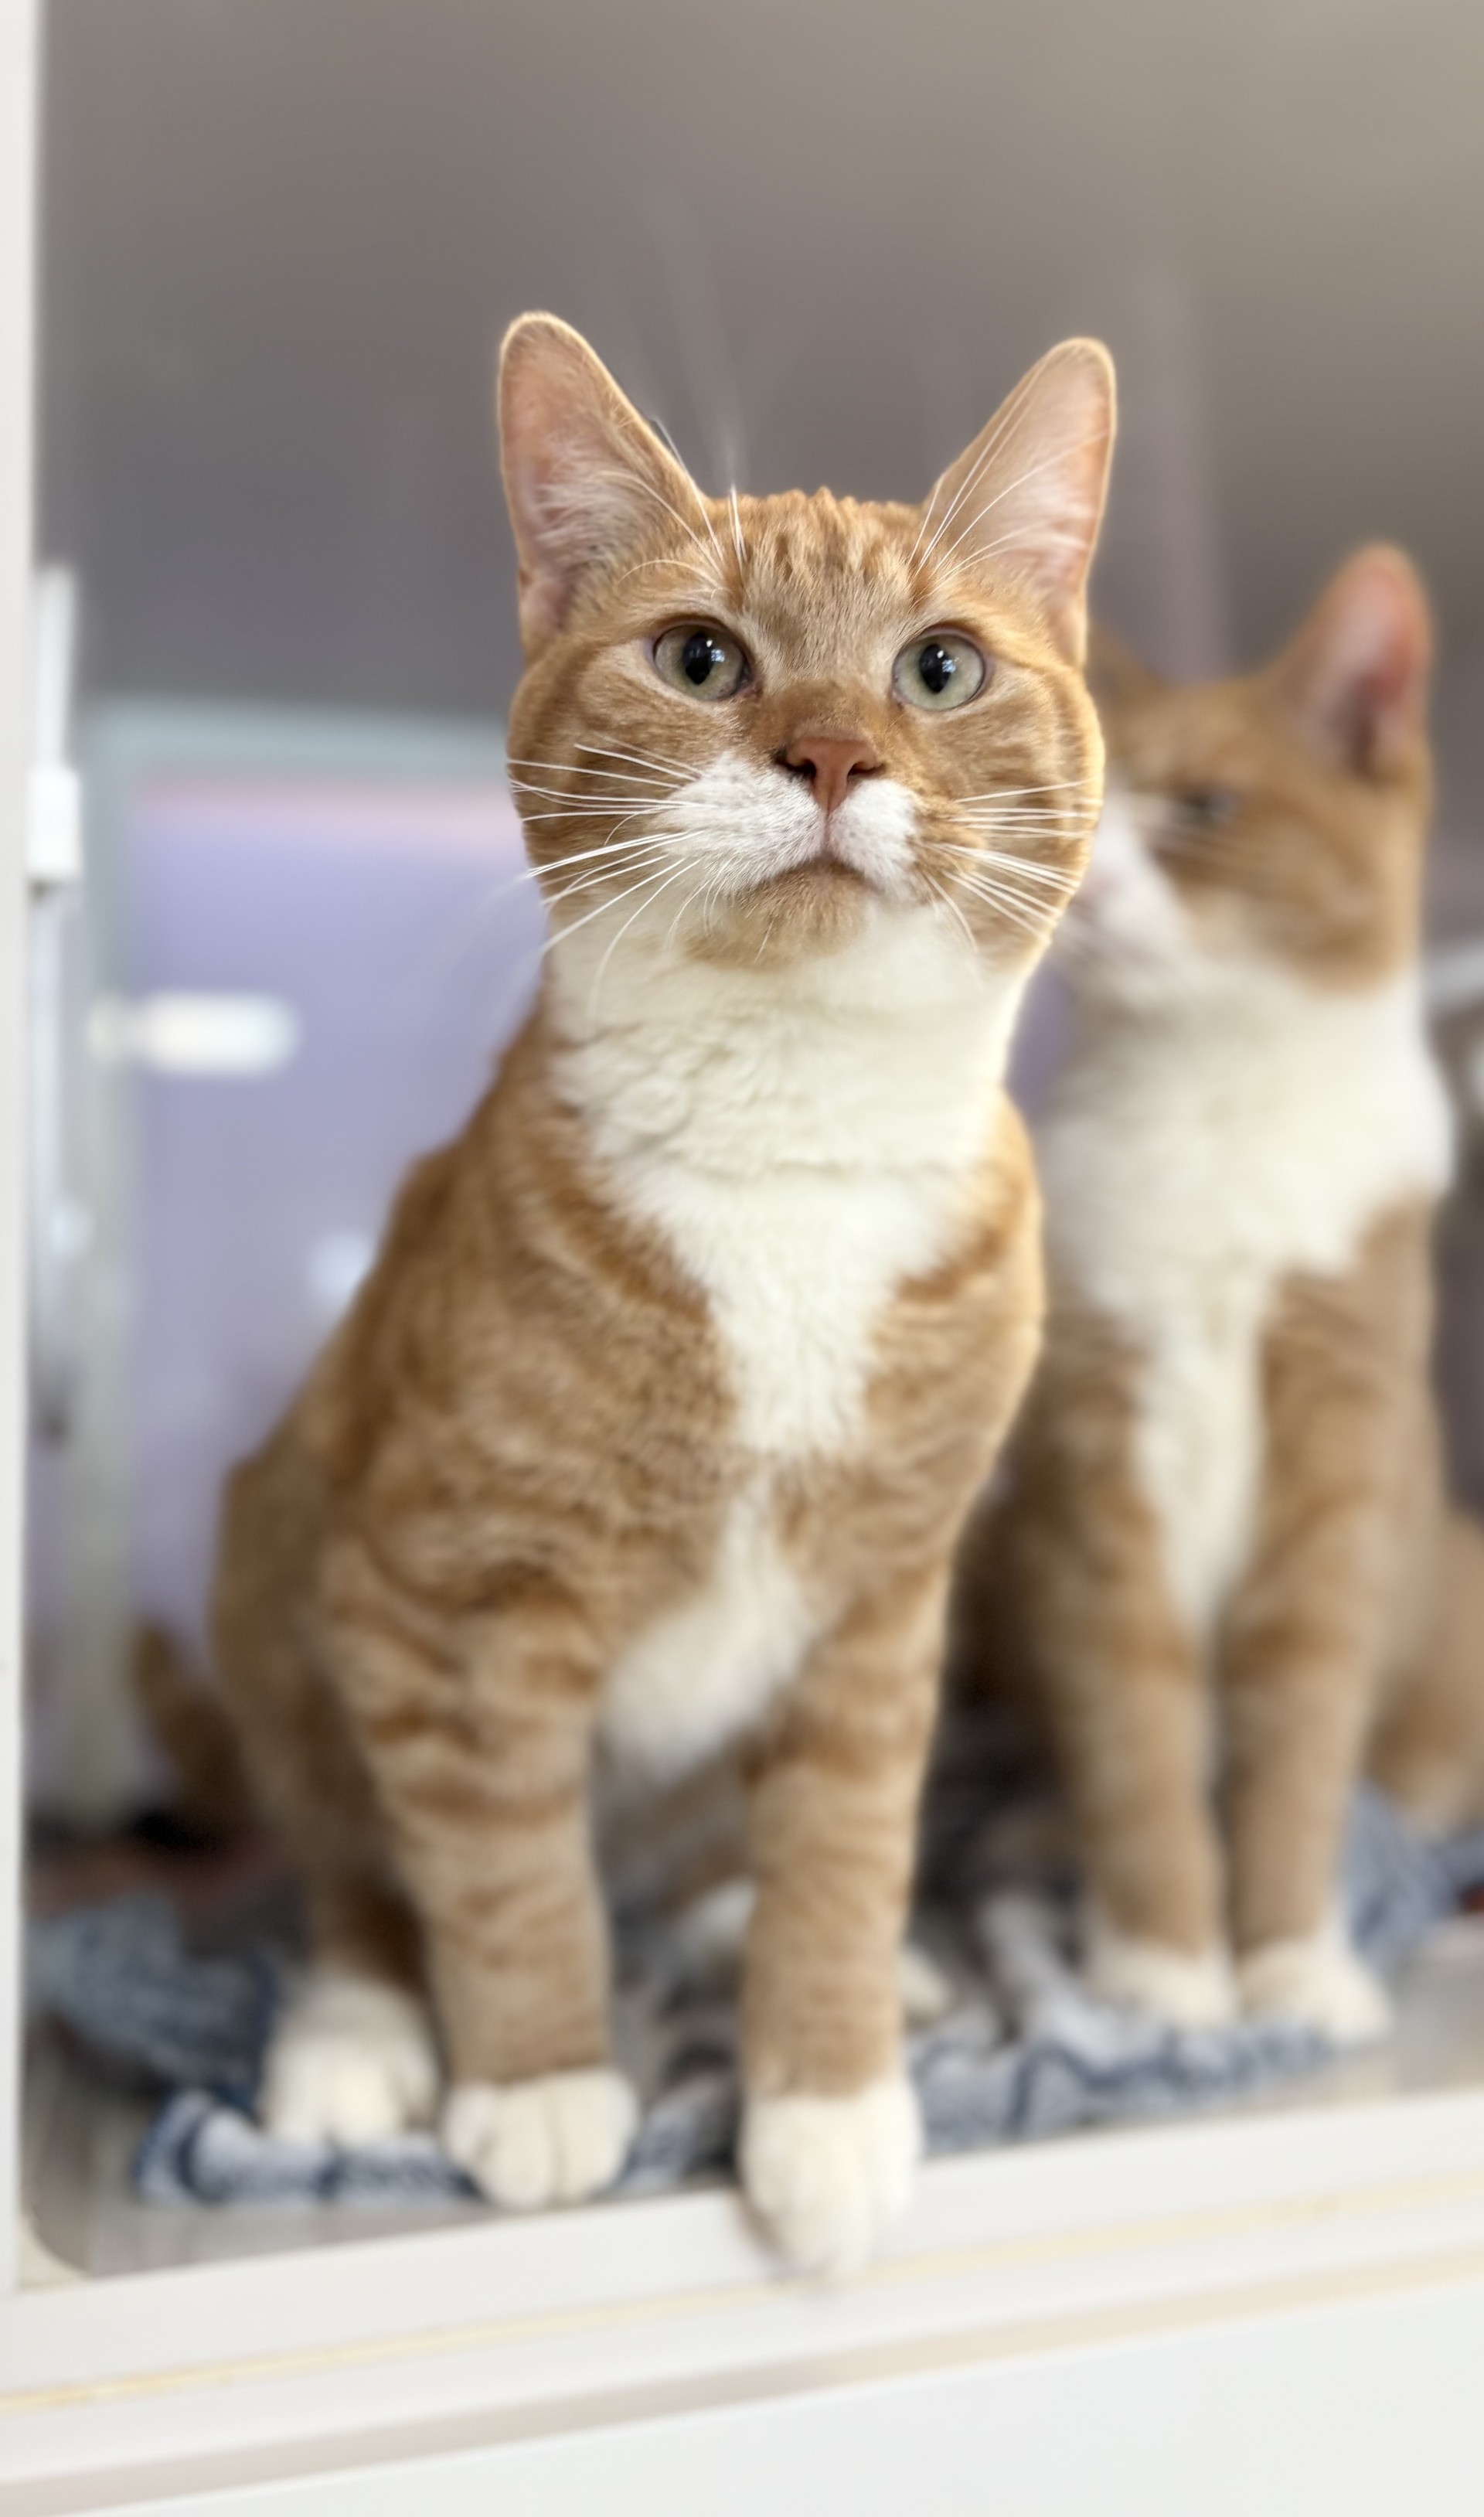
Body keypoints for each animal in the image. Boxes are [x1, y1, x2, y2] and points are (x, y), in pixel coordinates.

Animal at [211, 313, 1116, 2271]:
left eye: (940, 668)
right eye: (703, 658)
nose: (834, 753)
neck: (787, 1143)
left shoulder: (883, 1601)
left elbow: (842, 1847)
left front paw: (827, 2085)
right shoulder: (436, 1596)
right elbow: (496, 1863)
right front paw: (544, 2075)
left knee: (714, 1846)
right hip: (273, 1552)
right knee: (344, 1859)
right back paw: (353, 2032)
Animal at [954, 546, 1484, 2041]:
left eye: (1204, 808)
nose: (1085, 887)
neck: (1208, 1109)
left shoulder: (1339, 1444)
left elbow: (1301, 1734)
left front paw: (1293, 1961)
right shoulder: (1089, 1474)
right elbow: (1132, 1739)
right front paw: (1163, 1969)